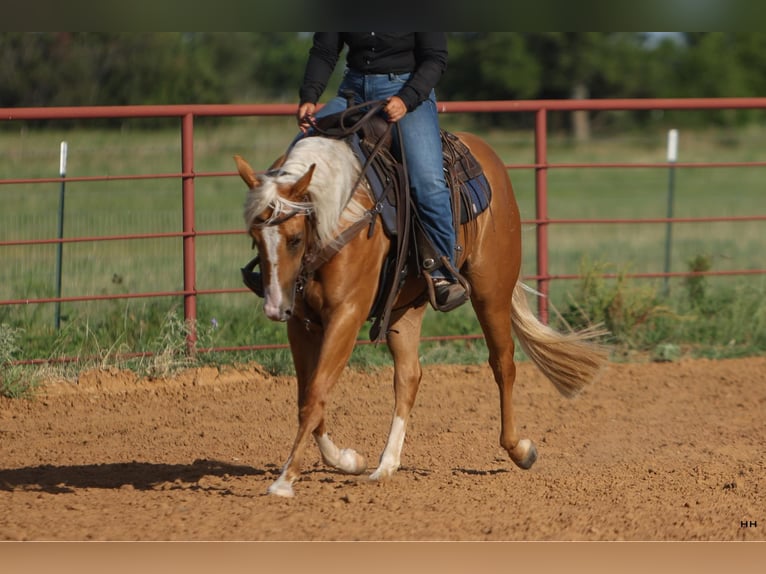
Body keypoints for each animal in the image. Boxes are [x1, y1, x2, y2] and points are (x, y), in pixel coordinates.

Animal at [235, 127, 607, 498]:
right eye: (254, 236)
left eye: (295, 239)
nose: (274, 307)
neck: (340, 217)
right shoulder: (301, 324)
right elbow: (308, 395)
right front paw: (348, 460)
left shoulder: (346, 315)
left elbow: (316, 394)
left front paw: (285, 480)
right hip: (404, 308)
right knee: (409, 376)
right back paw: (386, 465)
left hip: (491, 292)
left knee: (503, 364)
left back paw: (520, 449)